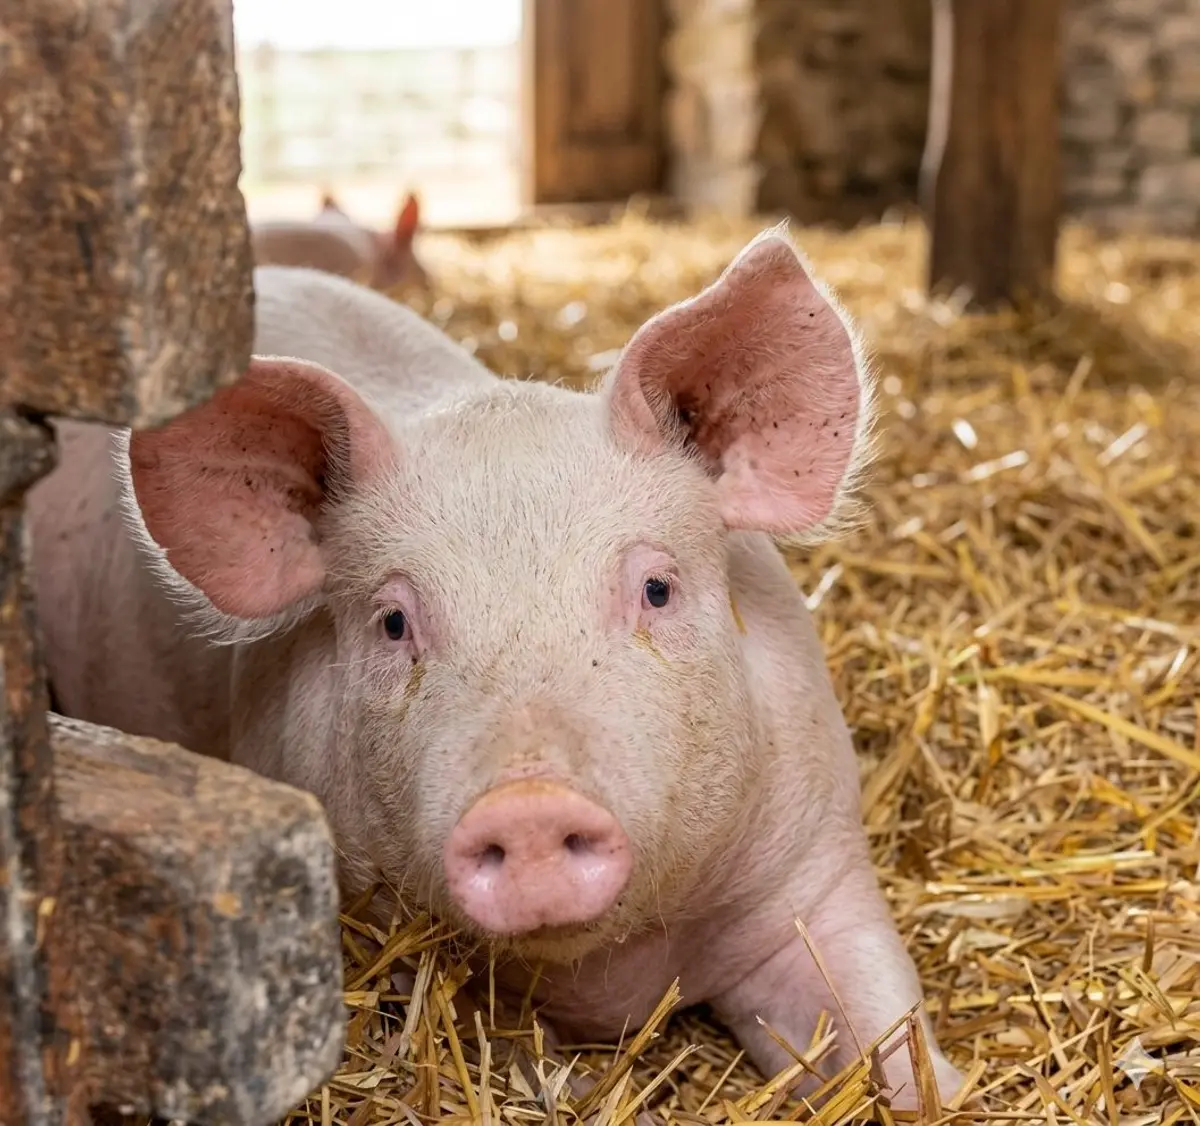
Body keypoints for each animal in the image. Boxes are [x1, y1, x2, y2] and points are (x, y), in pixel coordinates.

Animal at [27, 225, 965, 1113]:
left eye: (657, 589)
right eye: (394, 622)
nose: (530, 804)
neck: (607, 976)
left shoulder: (818, 867)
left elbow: (881, 1022)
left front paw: (941, 1092)